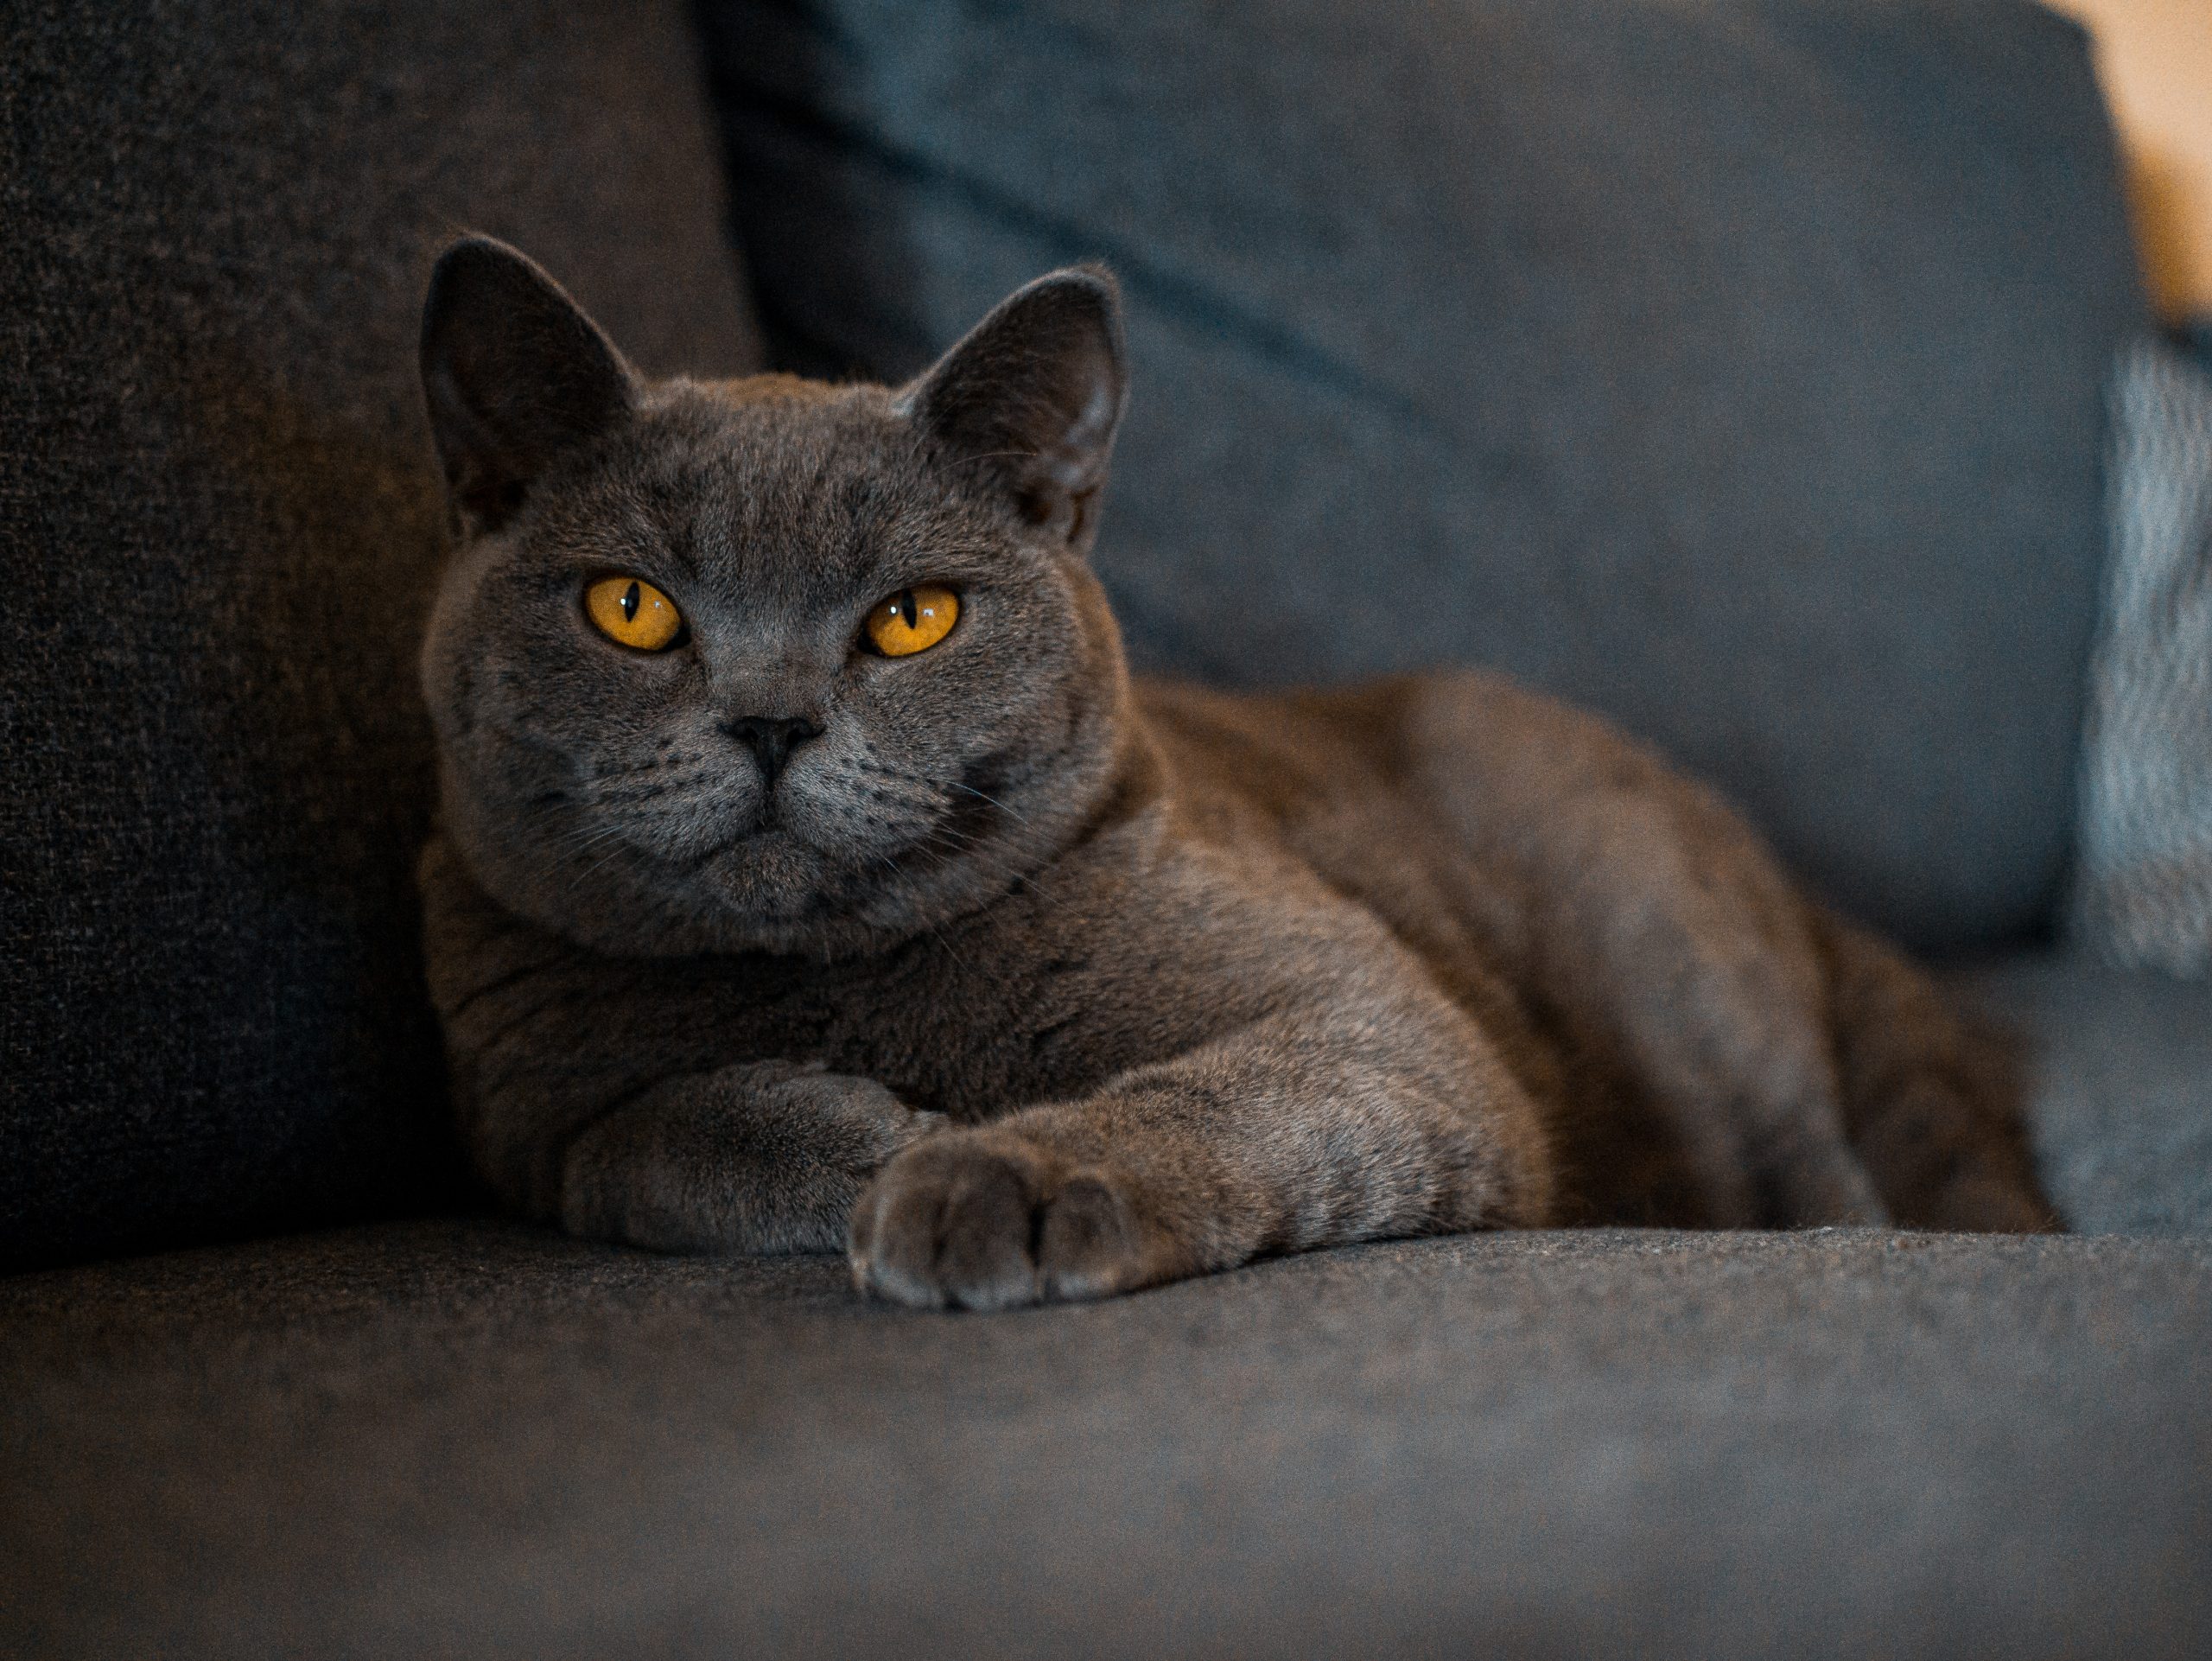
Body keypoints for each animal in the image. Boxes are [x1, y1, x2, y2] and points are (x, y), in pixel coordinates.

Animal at [411, 231, 2052, 1309]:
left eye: (912, 617)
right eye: (631, 608)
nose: (769, 718)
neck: (831, 978)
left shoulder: (1372, 1015)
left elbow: (1202, 1094)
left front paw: (975, 1172)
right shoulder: (514, 1108)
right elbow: (645, 1141)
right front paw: (871, 1135)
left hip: (1669, 957)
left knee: (1821, 1167)